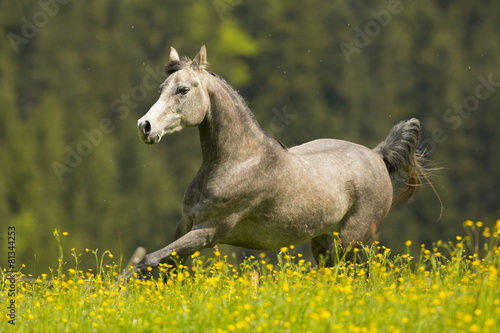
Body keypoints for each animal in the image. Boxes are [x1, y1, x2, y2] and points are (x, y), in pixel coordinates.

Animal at [126, 44, 434, 278]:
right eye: (162, 87)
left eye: (183, 90)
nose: (145, 126)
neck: (238, 162)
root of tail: (378, 155)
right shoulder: (185, 225)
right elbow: (166, 267)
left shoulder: (208, 232)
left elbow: (147, 260)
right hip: (324, 241)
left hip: (352, 241)